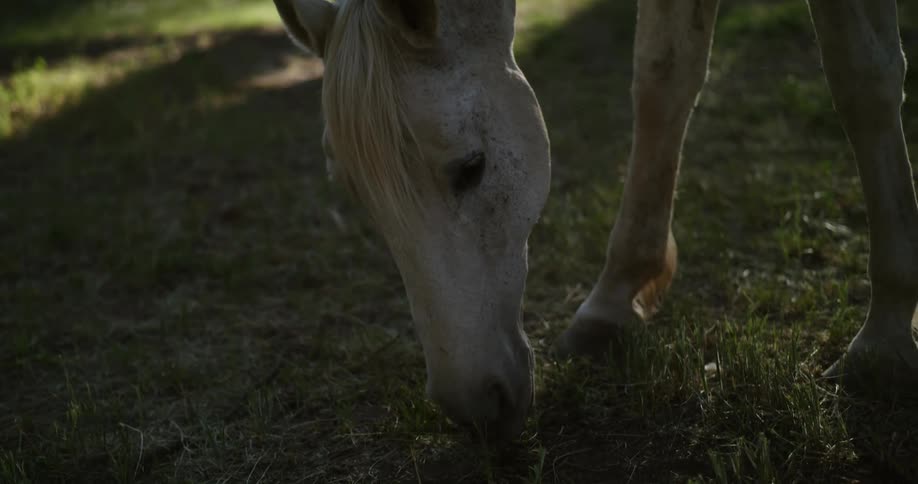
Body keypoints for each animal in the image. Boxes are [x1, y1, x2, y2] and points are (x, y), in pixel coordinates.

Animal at [272, 0, 918, 439]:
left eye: (471, 168)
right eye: (356, 194)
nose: (470, 404)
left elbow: (862, 76)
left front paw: (885, 338)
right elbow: (664, 77)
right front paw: (615, 298)